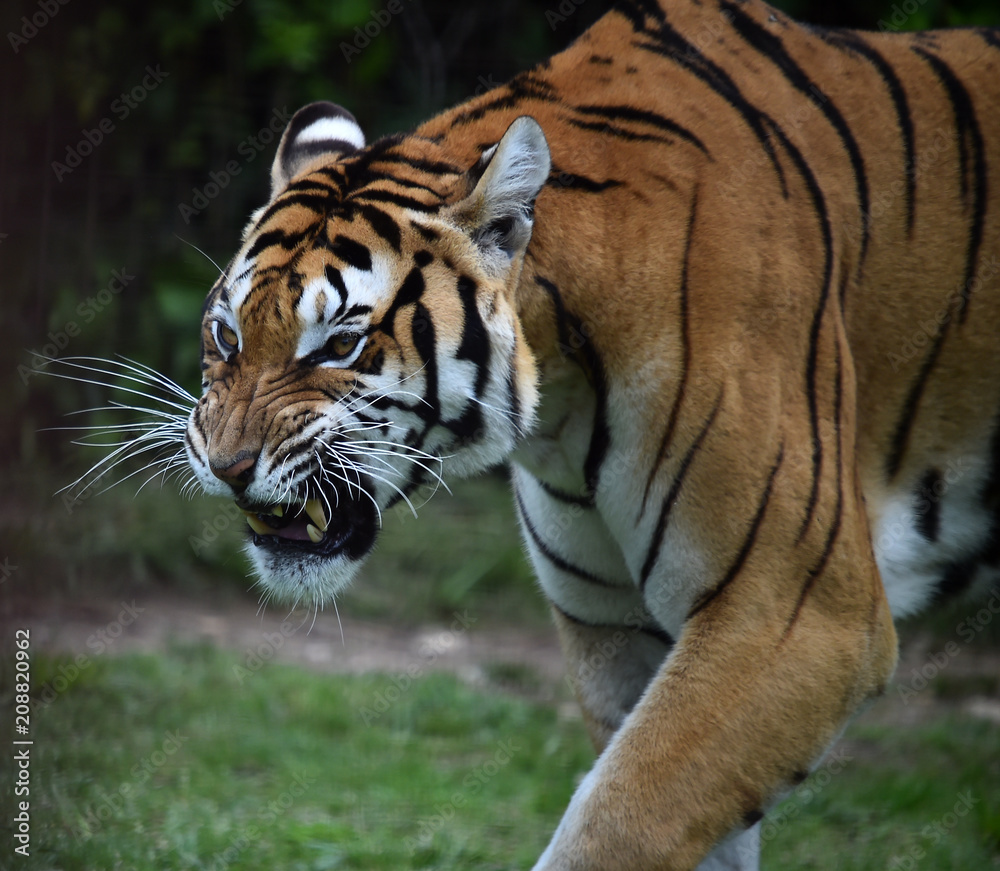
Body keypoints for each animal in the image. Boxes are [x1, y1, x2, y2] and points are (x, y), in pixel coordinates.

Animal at [180, 0, 1000, 868]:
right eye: (228, 335)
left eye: (338, 344)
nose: (226, 466)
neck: (563, 409)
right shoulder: (620, 627)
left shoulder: (797, 613)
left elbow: (620, 818)